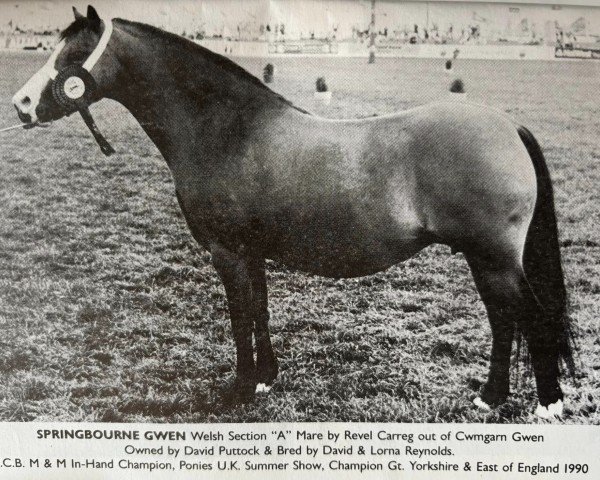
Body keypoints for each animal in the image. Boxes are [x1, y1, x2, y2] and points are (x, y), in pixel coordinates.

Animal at [10, 5, 572, 418]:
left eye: (74, 52)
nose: (21, 105)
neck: (228, 130)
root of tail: (507, 126)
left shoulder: (229, 253)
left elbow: (240, 317)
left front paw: (237, 392)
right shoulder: (250, 253)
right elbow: (260, 311)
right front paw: (264, 381)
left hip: (493, 258)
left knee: (530, 318)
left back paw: (545, 405)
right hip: (485, 260)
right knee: (504, 320)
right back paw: (491, 397)